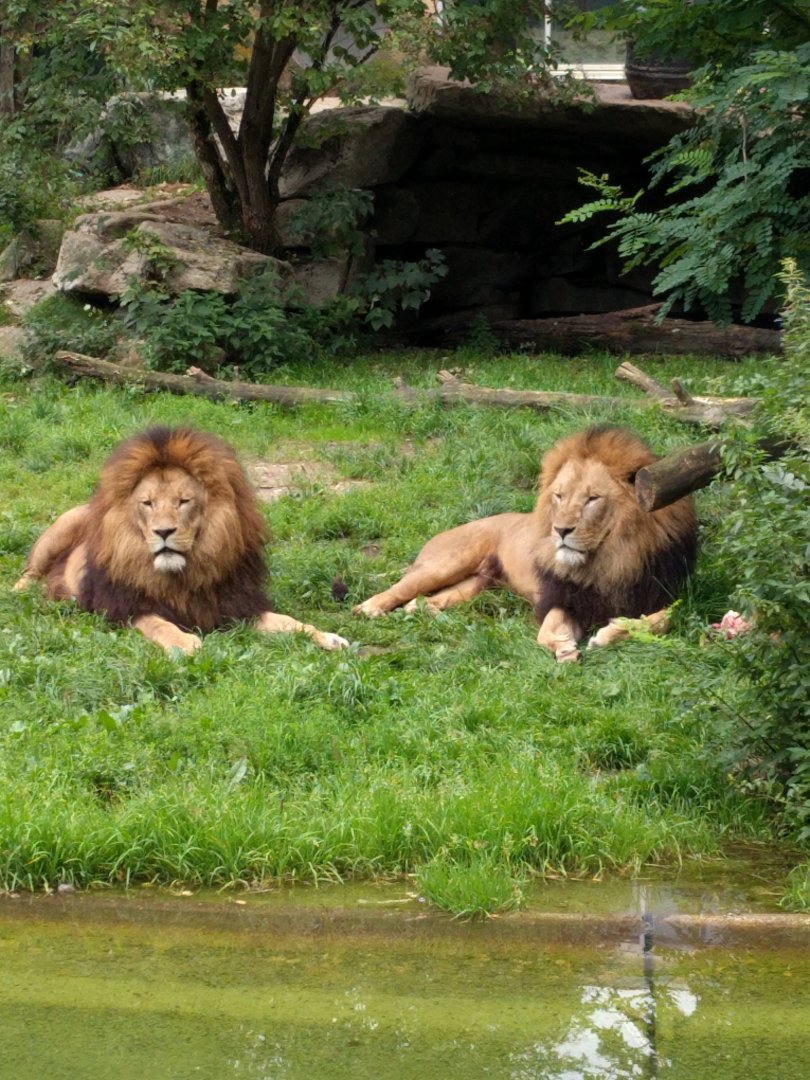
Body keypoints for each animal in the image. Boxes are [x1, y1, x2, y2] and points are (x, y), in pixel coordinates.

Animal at [14, 426, 348, 654]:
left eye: (183, 501)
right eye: (148, 503)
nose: (164, 532)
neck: (183, 575)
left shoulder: (236, 606)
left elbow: (289, 621)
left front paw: (327, 637)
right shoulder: (125, 607)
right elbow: (159, 624)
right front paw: (187, 644)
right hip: (60, 531)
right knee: (28, 572)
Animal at [354, 425, 697, 662]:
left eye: (592, 499)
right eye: (559, 496)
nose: (561, 530)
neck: (610, 559)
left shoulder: (667, 595)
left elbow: (662, 620)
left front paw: (608, 633)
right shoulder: (561, 597)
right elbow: (547, 630)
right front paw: (564, 647)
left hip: (477, 584)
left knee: (425, 601)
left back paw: (429, 614)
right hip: (446, 563)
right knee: (400, 589)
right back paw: (368, 608)